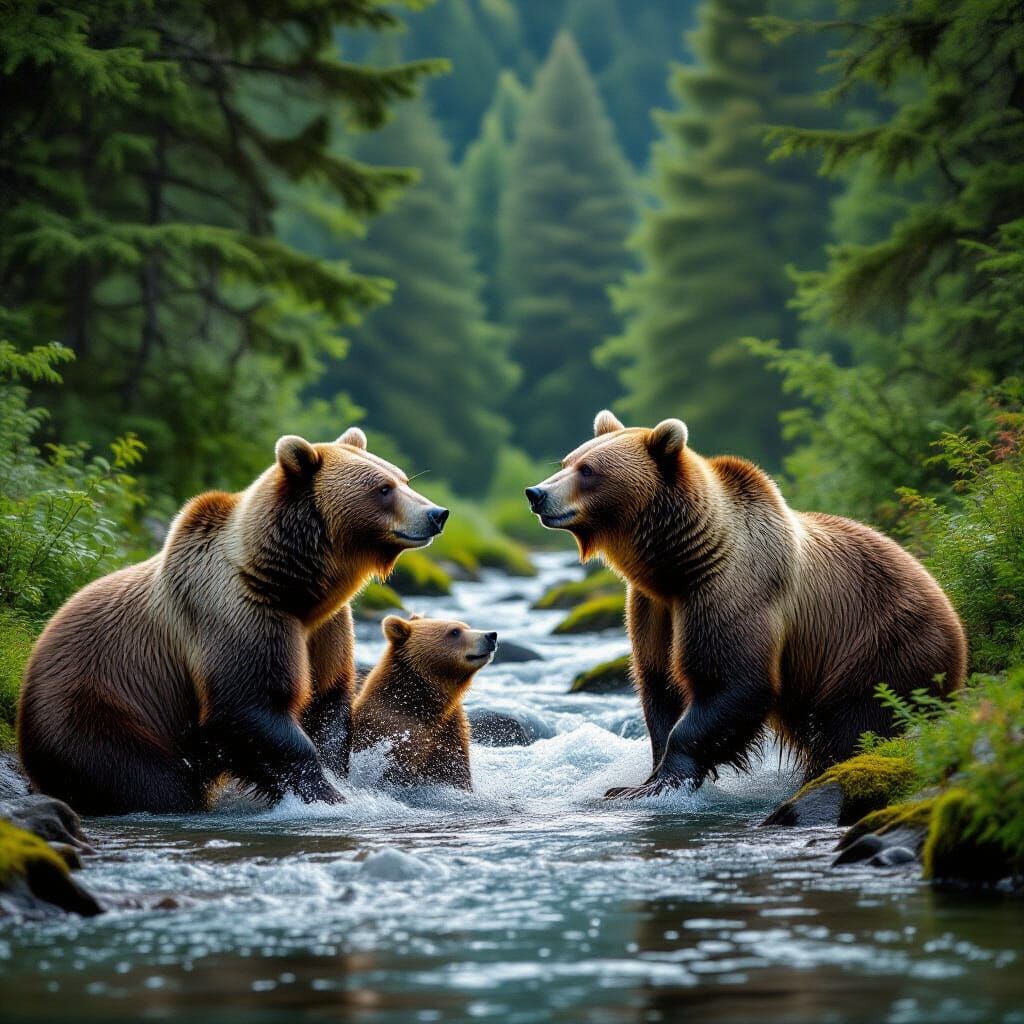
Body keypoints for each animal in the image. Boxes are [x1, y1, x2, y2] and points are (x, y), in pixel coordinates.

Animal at [17, 428, 449, 815]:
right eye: (383, 488)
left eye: (403, 479)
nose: (437, 513)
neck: (295, 586)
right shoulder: (238, 612)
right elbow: (249, 705)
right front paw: (328, 795)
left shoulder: (326, 629)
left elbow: (327, 703)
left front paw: (337, 777)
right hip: (101, 715)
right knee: (145, 779)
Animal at [525, 410, 967, 799]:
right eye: (566, 461)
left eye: (588, 470)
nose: (536, 493)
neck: (675, 564)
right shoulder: (652, 608)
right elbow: (659, 686)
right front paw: (639, 779)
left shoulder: (730, 588)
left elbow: (731, 680)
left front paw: (656, 783)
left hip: (880, 647)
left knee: (858, 724)